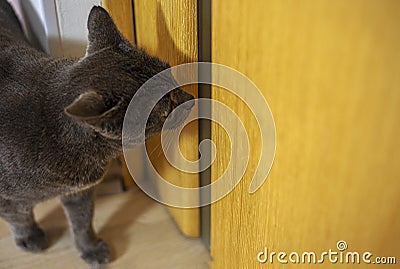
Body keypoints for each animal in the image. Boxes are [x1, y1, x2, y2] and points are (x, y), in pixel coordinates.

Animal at [0, 2, 194, 264]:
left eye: (169, 72)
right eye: (165, 110)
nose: (191, 98)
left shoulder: (80, 192)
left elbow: (83, 220)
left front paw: (90, 248)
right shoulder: (7, 198)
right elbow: (18, 216)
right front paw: (30, 239)